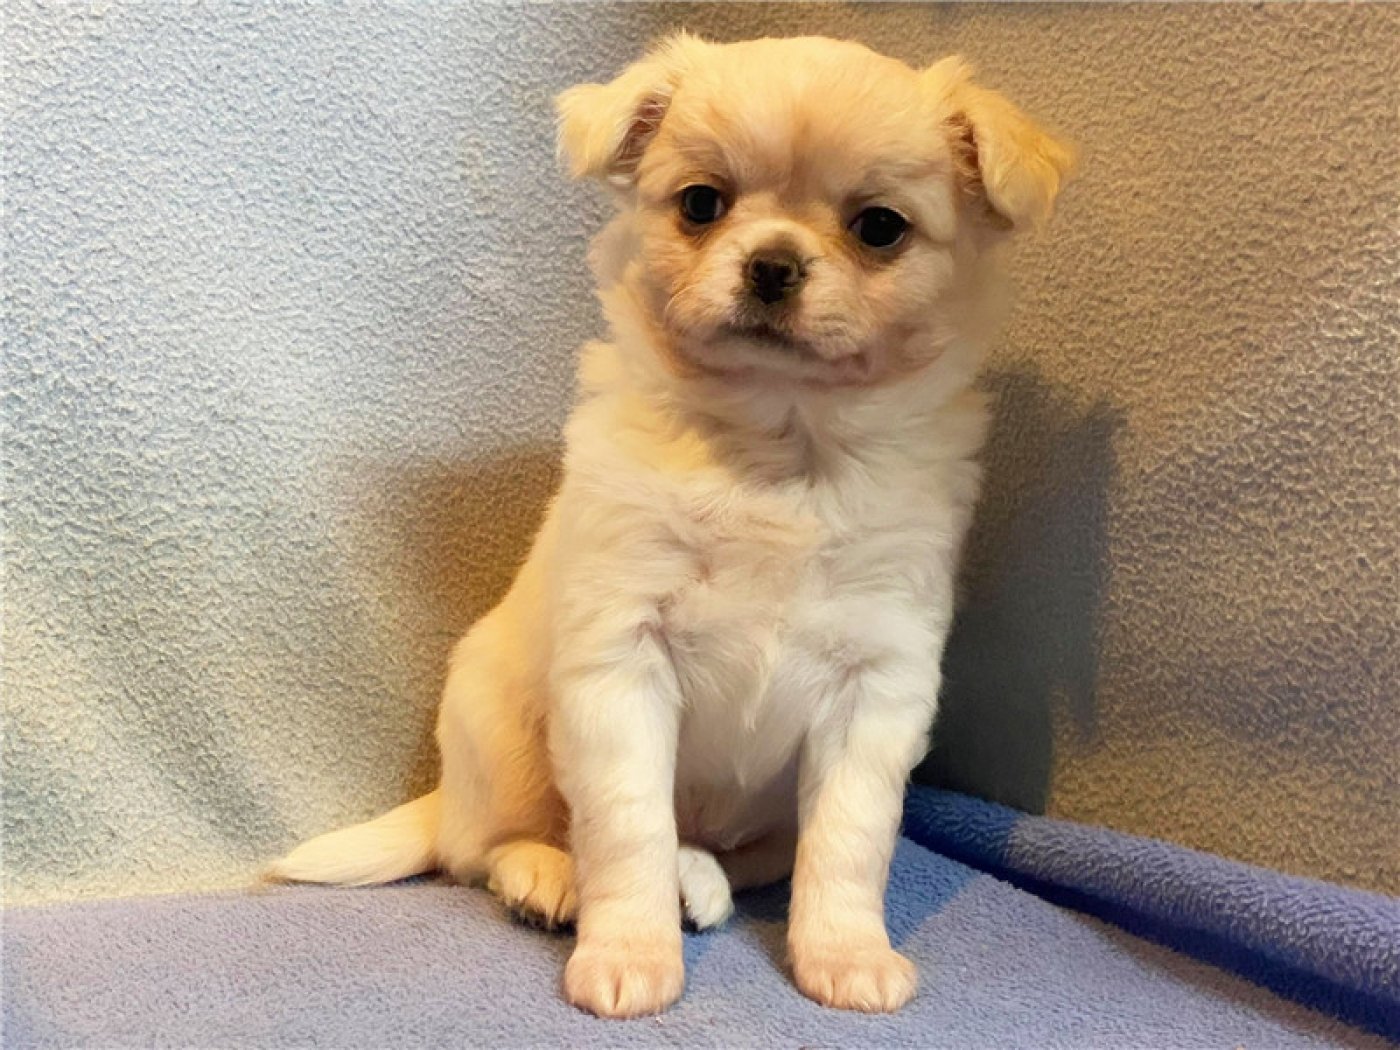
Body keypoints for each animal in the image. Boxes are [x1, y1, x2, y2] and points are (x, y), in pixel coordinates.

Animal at [269, 32, 1072, 1019]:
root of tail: (445, 795)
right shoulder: (622, 659)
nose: (771, 263)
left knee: (751, 854)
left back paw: (703, 879)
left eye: (880, 227)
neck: (777, 452)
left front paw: (845, 955)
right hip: (501, 733)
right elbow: (626, 829)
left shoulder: (878, 682)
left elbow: (848, 842)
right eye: (701, 204)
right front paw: (628, 956)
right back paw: (549, 877)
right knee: (486, 848)